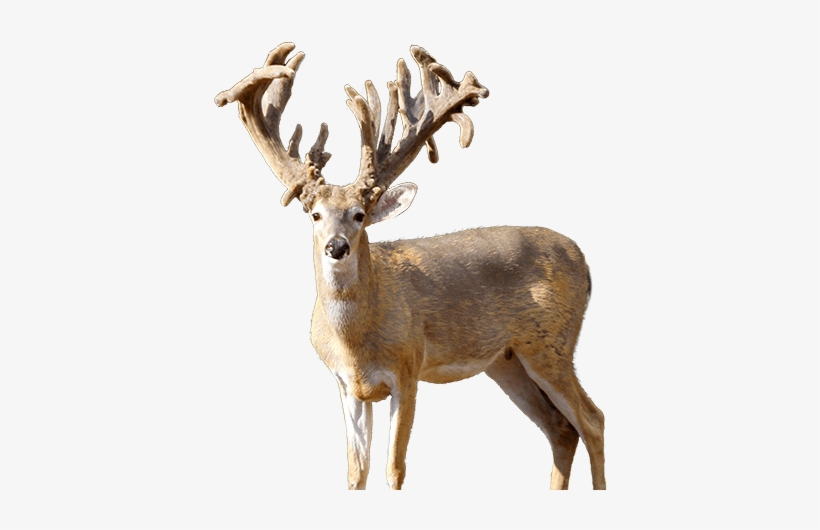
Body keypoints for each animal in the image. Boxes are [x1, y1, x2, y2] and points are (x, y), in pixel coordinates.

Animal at [215, 43, 605, 490]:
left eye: (359, 215)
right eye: (314, 214)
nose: (336, 246)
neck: (355, 344)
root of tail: (584, 262)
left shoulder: (408, 368)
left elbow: (394, 468)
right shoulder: (345, 384)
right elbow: (356, 471)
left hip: (551, 344)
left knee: (592, 419)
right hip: (507, 362)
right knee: (561, 428)